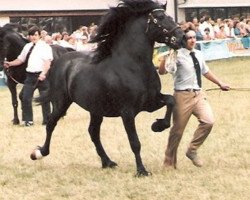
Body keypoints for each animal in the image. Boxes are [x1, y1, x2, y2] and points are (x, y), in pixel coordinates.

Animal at [30, 0, 184, 176]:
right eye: (160, 17)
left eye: (169, 15)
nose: (182, 37)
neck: (133, 66)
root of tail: (62, 59)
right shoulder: (127, 112)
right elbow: (135, 142)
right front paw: (141, 171)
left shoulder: (150, 103)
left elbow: (171, 100)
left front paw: (158, 126)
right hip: (62, 102)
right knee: (51, 123)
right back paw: (39, 153)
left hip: (95, 109)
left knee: (93, 132)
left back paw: (107, 162)